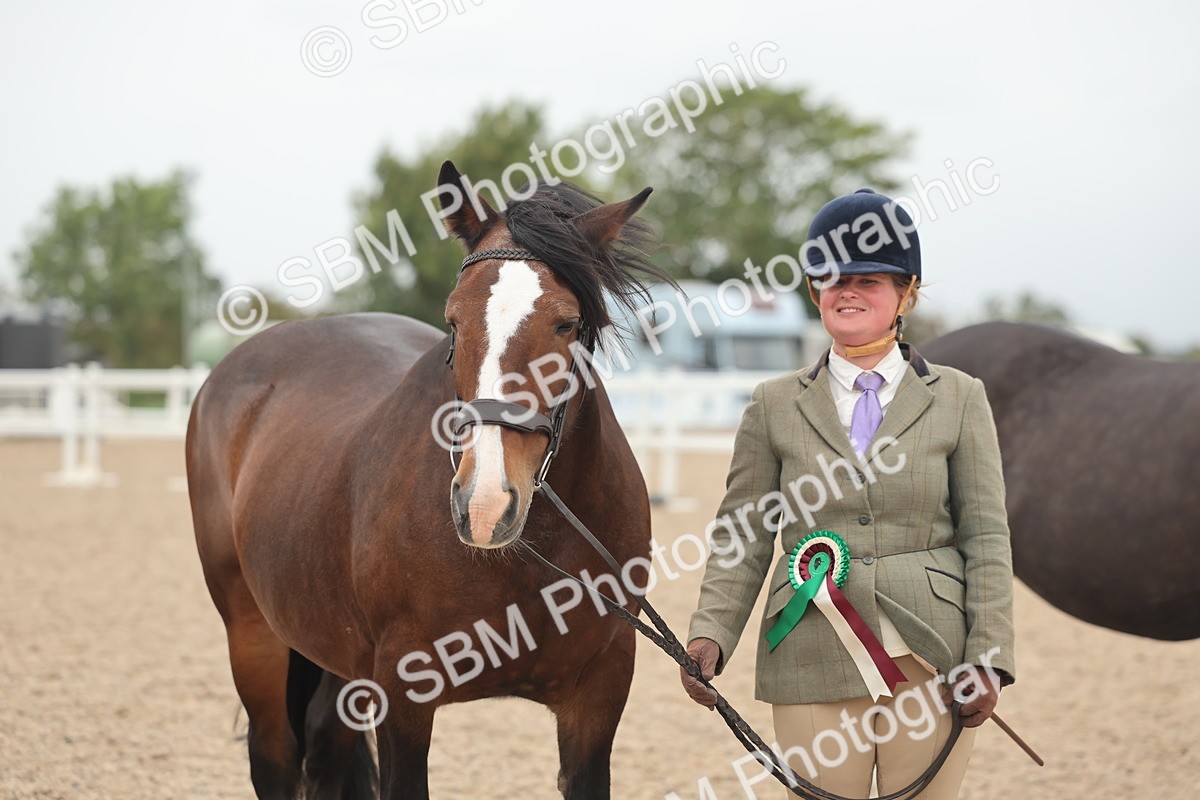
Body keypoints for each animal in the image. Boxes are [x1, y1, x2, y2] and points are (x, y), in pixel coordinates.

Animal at [186, 161, 672, 799]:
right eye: (453, 321)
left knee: (326, 743)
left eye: (567, 324)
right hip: (252, 634)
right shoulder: (403, 691)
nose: (485, 506)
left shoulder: (599, 693)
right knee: (274, 754)